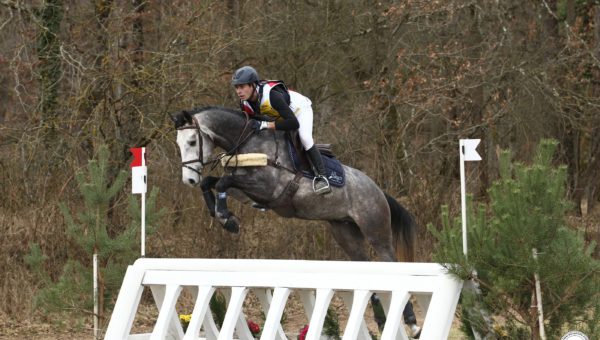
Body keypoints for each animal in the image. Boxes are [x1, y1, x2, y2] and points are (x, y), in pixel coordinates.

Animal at [169, 107, 422, 338]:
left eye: (192, 141)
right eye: (178, 144)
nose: (189, 179)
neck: (249, 142)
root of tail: (377, 190)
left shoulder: (268, 187)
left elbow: (222, 181)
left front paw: (227, 219)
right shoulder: (247, 191)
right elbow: (213, 182)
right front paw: (222, 215)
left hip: (375, 231)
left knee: (391, 263)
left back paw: (412, 323)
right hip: (346, 234)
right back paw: (381, 322)